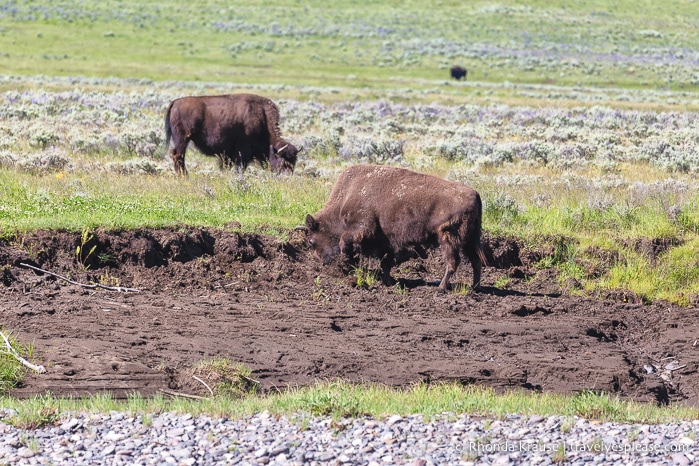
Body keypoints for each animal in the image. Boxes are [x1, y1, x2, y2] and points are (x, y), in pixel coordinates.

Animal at [165, 93, 300, 176]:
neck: (262, 117)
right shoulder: (243, 151)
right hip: (183, 139)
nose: (287, 176)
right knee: (178, 155)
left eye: (294, 162)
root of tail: (176, 102)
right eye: (283, 161)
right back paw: (185, 176)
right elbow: (240, 167)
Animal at [300, 165, 486, 292]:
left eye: (311, 241)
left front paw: (348, 260)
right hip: (470, 240)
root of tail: (475, 193)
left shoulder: (362, 226)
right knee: (476, 261)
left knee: (453, 262)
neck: (346, 197)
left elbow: (344, 241)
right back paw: (474, 287)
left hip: (448, 238)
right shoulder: (386, 241)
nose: (322, 261)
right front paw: (388, 281)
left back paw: (441, 287)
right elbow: (386, 262)